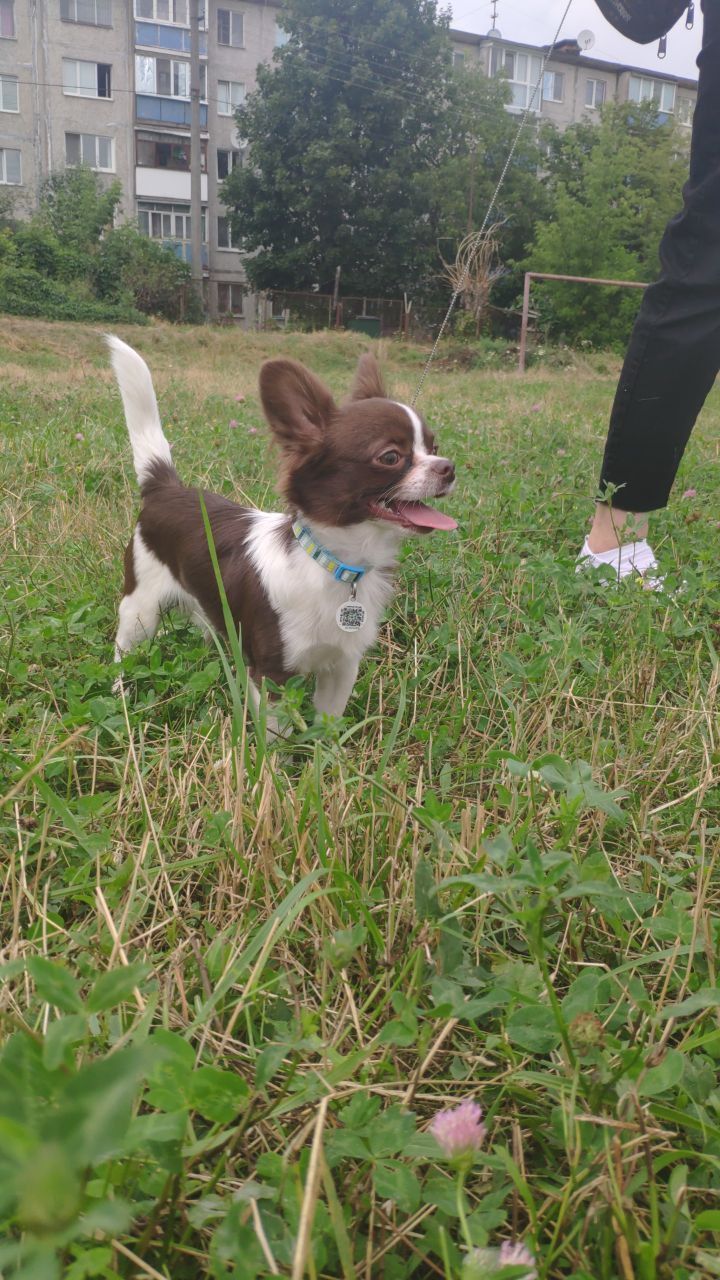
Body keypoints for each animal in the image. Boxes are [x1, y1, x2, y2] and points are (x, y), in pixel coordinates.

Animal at [106, 335, 453, 727]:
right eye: (391, 457)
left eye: (434, 447)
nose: (448, 467)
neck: (335, 565)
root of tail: (165, 488)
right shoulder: (271, 675)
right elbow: (275, 732)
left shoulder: (342, 666)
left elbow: (327, 726)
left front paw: (328, 745)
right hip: (140, 607)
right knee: (123, 649)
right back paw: (120, 693)